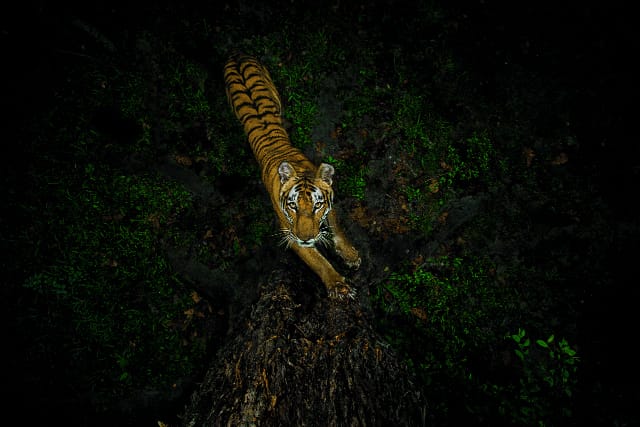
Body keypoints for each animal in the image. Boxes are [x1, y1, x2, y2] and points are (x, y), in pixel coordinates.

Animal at [223, 53, 361, 299]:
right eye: (293, 206)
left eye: (317, 205)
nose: (306, 237)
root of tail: (237, 54)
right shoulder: (291, 233)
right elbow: (319, 262)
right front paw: (338, 285)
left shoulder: (329, 209)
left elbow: (338, 230)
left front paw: (350, 255)